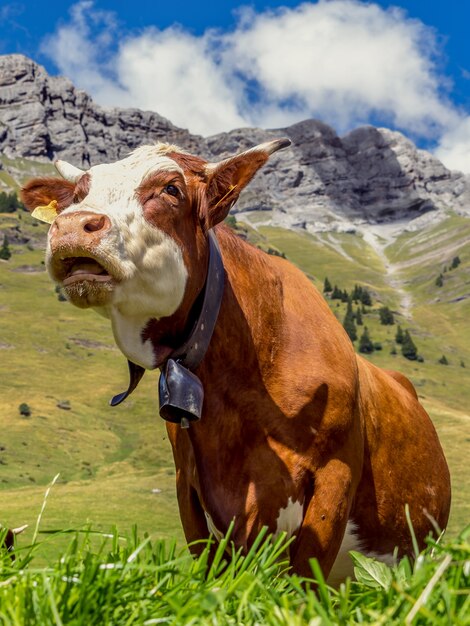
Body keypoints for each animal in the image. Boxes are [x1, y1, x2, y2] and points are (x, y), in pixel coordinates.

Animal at [22, 140, 452, 580]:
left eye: (171, 189)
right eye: (78, 194)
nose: (72, 226)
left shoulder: (335, 477)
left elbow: (306, 578)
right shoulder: (190, 485)